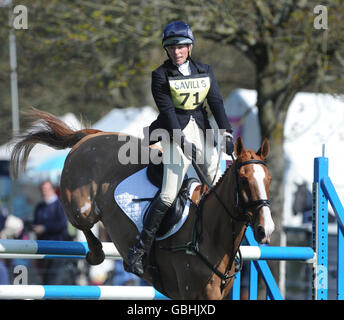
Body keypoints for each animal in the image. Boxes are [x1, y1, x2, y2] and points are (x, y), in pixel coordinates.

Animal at [10, 109, 274, 298]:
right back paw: (97, 254)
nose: (266, 229)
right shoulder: (194, 292)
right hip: (81, 206)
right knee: (81, 223)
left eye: (269, 179)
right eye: (243, 180)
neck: (210, 232)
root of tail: (92, 136)